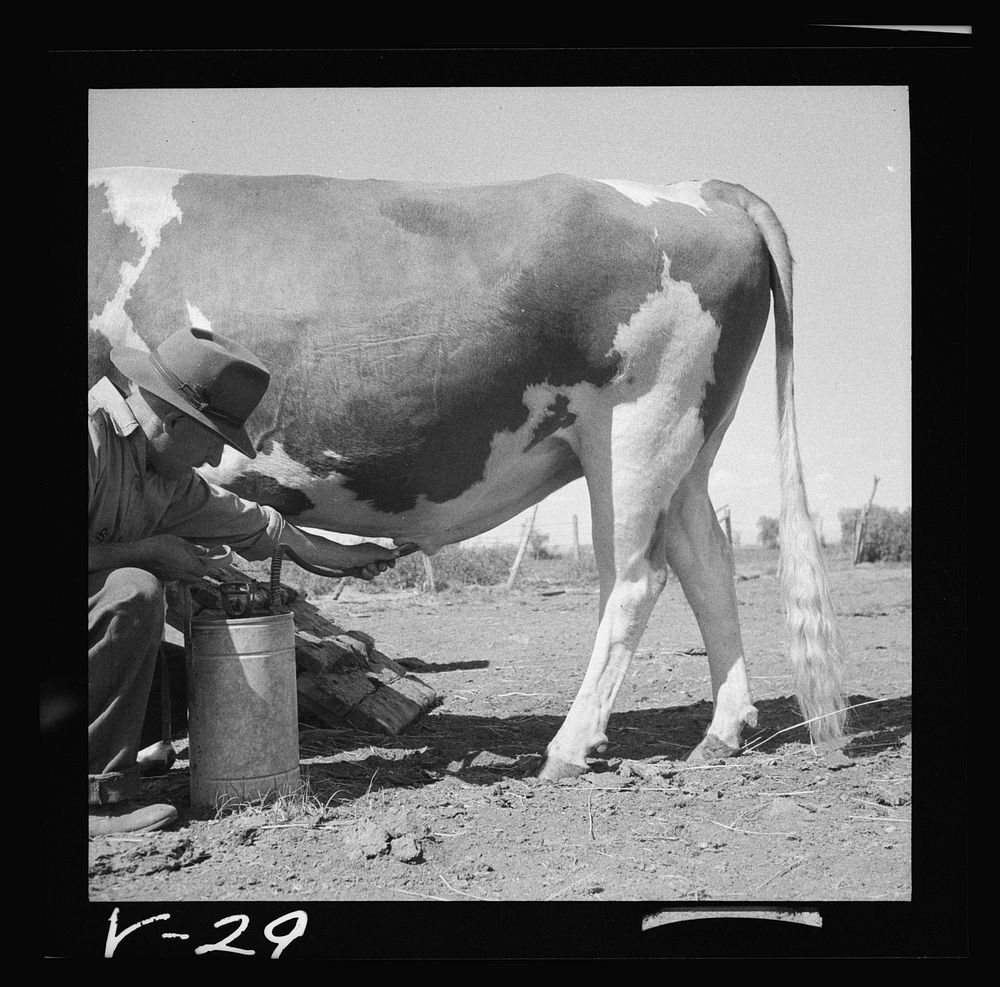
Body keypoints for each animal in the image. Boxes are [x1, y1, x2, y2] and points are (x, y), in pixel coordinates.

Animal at [90, 168, 848, 780]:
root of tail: (697, 189)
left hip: (637, 431)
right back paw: (720, 733)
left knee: (636, 580)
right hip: (689, 446)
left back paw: (569, 748)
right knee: (707, 562)